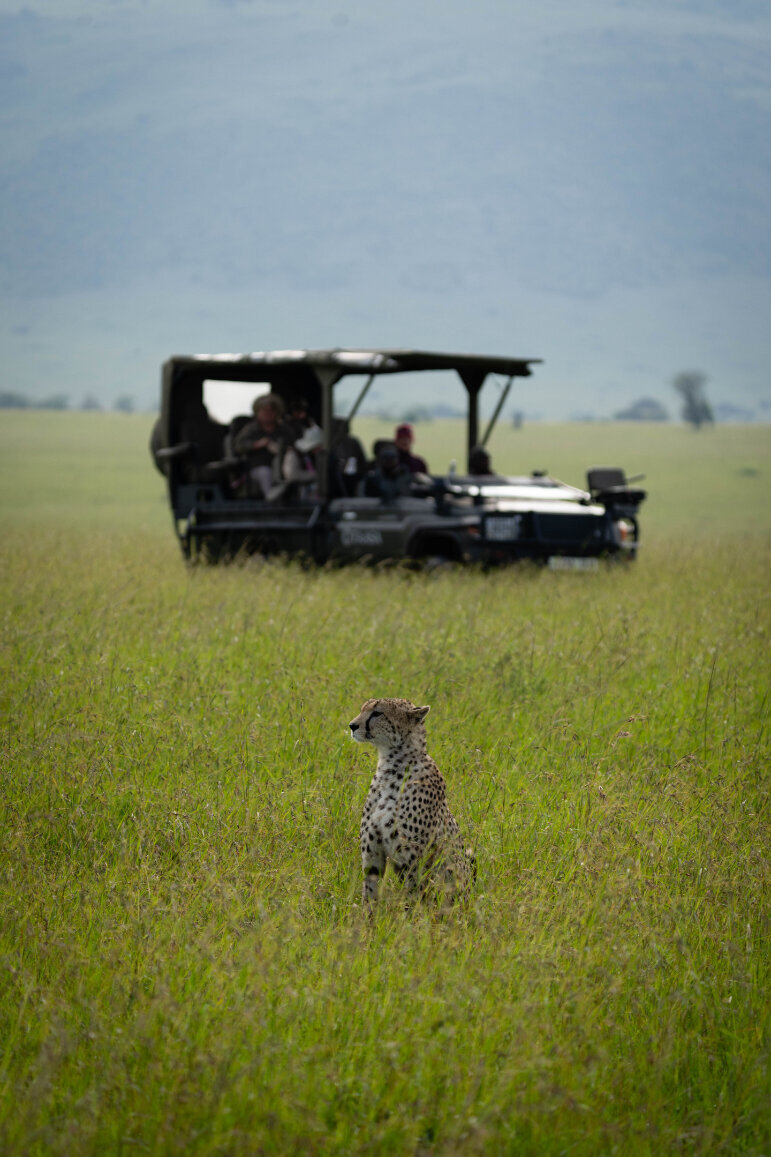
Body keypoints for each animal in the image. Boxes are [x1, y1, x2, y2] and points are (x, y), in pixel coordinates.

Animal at [344, 698, 472, 907]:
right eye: (363, 709)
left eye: (377, 713)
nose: (352, 726)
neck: (390, 767)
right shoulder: (372, 858)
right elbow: (369, 899)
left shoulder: (412, 861)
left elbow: (412, 901)